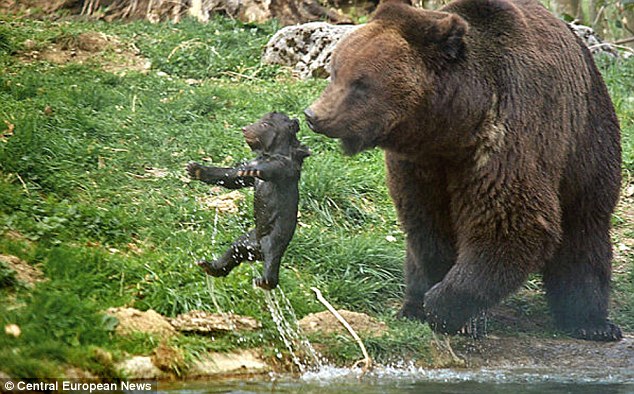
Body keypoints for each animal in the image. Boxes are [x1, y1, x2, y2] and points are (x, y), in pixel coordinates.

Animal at [304, 0, 620, 340]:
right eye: (335, 70)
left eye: (361, 83)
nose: (314, 115)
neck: (453, 127)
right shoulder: (417, 163)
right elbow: (426, 225)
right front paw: (434, 300)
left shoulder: (506, 142)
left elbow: (510, 222)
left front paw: (444, 306)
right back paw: (410, 304)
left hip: (585, 140)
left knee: (584, 230)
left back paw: (590, 322)